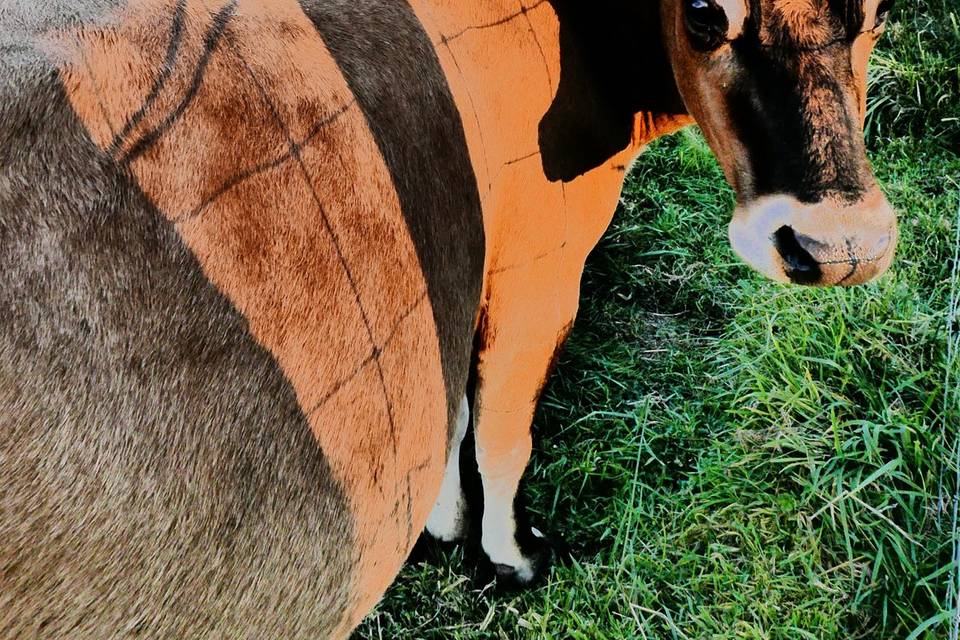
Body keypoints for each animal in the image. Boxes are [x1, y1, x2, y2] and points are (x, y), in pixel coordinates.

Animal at [3, 0, 896, 636]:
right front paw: (508, 556)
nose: (842, 246)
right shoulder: (538, 270)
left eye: (876, 9)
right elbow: (502, 432)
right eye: (706, 9)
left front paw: (444, 522)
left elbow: (458, 405)